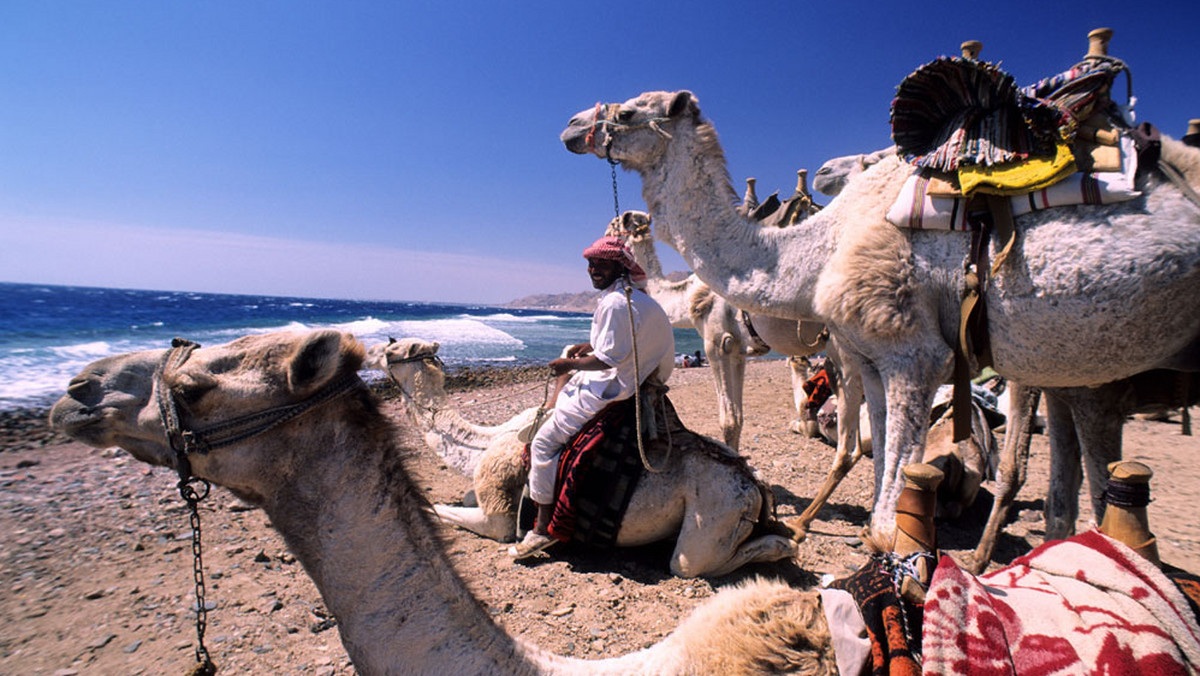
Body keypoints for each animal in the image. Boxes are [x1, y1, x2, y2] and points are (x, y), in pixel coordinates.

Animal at [367, 333, 796, 576]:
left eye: (392, 350)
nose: (364, 349)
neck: (482, 444)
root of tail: (752, 484)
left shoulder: (498, 514)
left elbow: (441, 509)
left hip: (713, 517)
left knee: (697, 562)